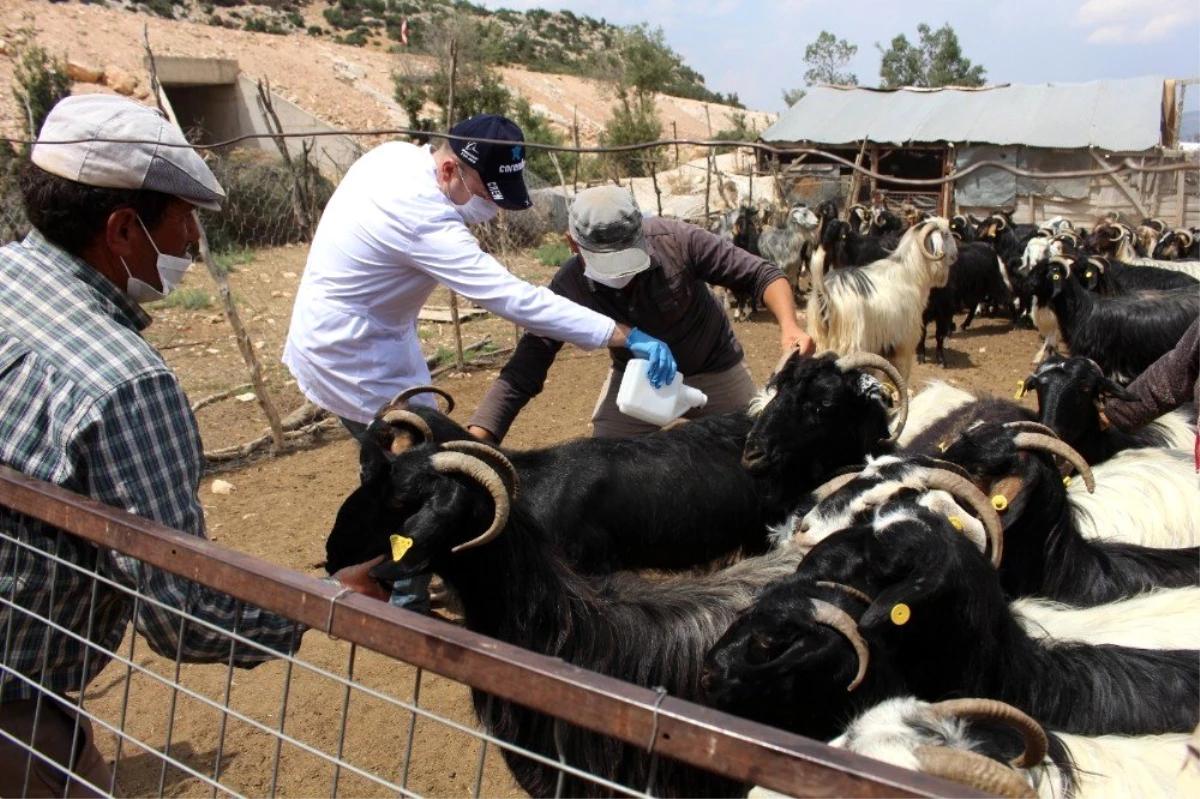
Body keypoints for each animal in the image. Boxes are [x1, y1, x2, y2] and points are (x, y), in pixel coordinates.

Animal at [806, 215, 955, 381]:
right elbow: (901, 374)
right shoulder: (903, 345)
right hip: (848, 345)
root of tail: (826, 296)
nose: (955, 255)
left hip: (820, 340)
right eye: (946, 234)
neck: (910, 273)